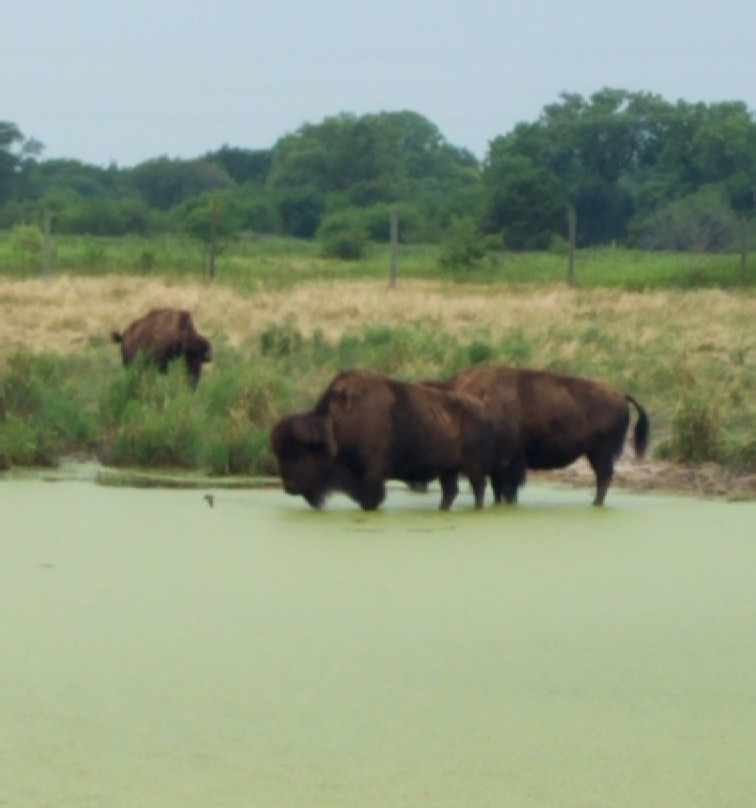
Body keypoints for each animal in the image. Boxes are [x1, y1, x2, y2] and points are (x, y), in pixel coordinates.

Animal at [270, 368, 496, 512]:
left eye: (299, 452)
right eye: (280, 453)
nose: (289, 487)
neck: (337, 424)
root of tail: (483, 408)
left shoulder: (372, 476)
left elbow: (370, 499)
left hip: (473, 467)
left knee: (478, 489)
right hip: (448, 470)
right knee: (451, 492)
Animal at [442, 364, 648, 504]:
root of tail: (621, 395)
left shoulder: (509, 463)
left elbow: (508, 489)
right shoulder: (498, 467)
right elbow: (498, 490)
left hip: (600, 453)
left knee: (604, 477)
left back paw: (595, 504)